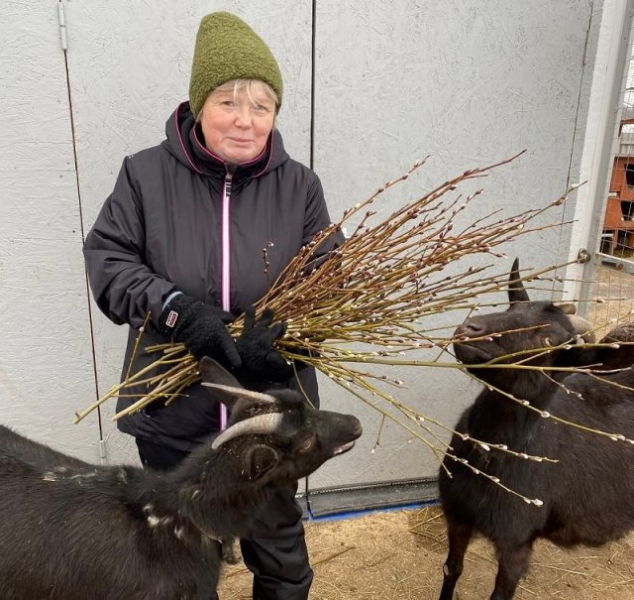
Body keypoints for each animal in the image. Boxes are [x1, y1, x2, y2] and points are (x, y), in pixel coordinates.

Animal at [436, 260, 632, 600]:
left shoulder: (517, 542)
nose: (470, 329)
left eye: (549, 342)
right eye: (513, 306)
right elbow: (452, 570)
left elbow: (500, 594)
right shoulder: (457, 516)